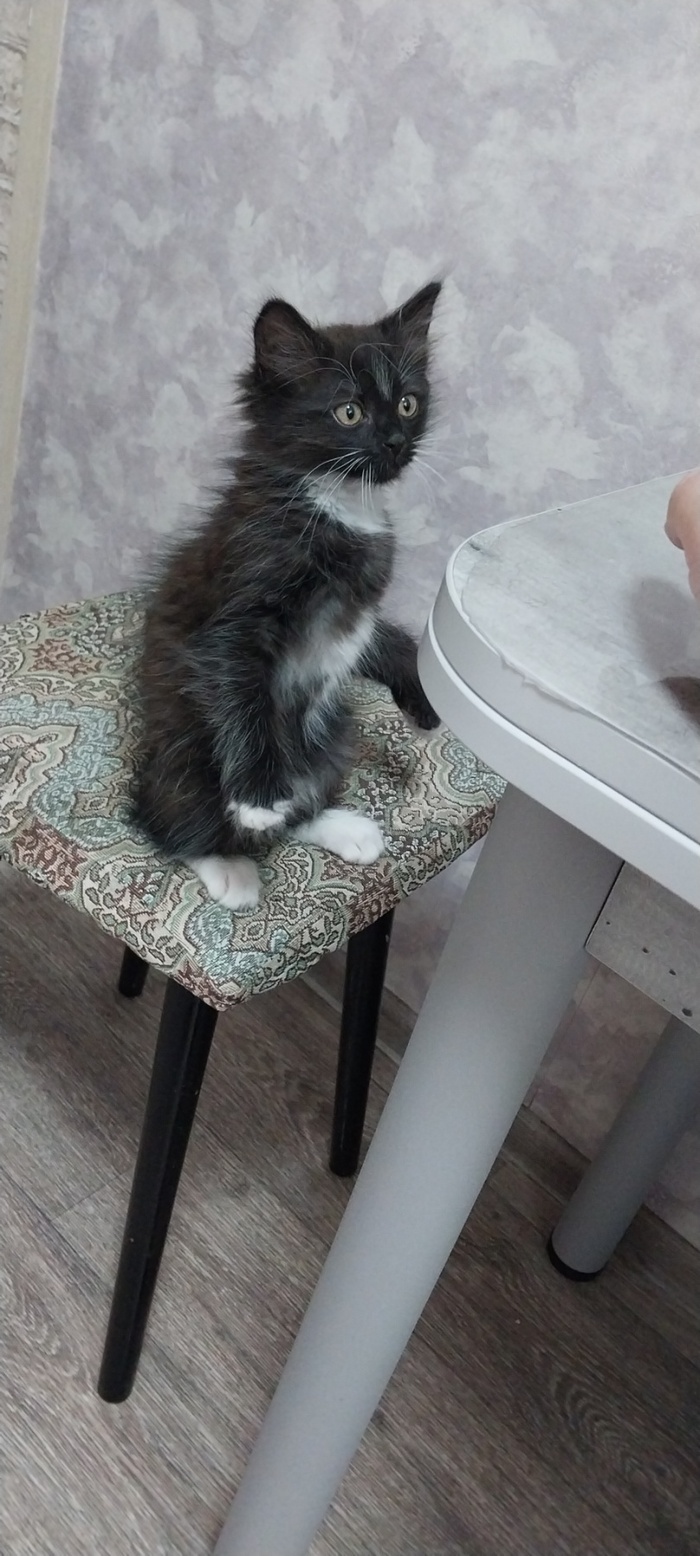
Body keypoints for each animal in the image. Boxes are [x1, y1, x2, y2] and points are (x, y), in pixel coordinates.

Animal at [133, 280, 442, 910]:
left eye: (408, 403)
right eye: (349, 412)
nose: (395, 443)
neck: (336, 504)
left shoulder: (361, 612)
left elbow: (389, 639)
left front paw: (424, 695)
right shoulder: (242, 601)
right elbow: (240, 684)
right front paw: (256, 797)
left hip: (334, 735)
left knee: (305, 797)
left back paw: (341, 827)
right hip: (183, 754)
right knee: (169, 818)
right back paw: (231, 864)